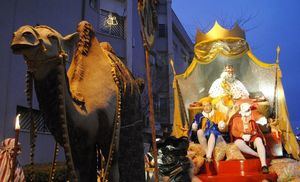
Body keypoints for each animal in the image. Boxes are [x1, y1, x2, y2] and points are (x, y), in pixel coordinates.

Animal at [12, 21, 146, 182]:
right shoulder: (79, 145)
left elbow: (114, 172)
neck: (86, 109)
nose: (21, 34)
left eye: (52, 37)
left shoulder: (109, 132)